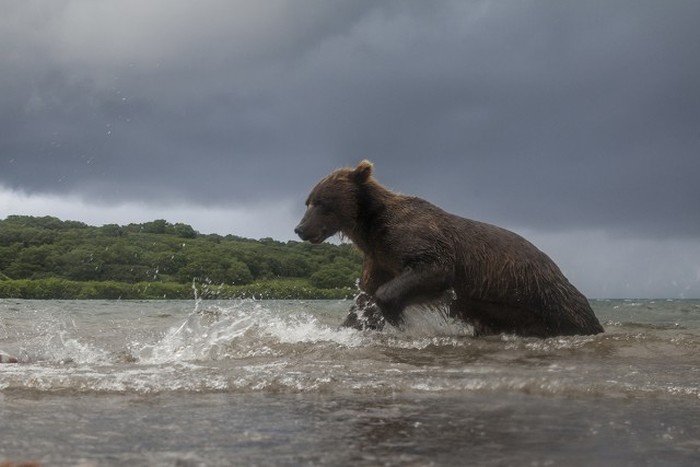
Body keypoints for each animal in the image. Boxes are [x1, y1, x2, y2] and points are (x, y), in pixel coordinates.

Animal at [292, 161, 604, 336]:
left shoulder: (415, 239)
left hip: (544, 297)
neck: (370, 227)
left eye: (321, 202)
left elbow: (433, 268)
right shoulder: (378, 258)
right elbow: (366, 298)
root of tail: (557, 270)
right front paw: (351, 325)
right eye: (308, 201)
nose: (300, 228)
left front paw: (397, 318)